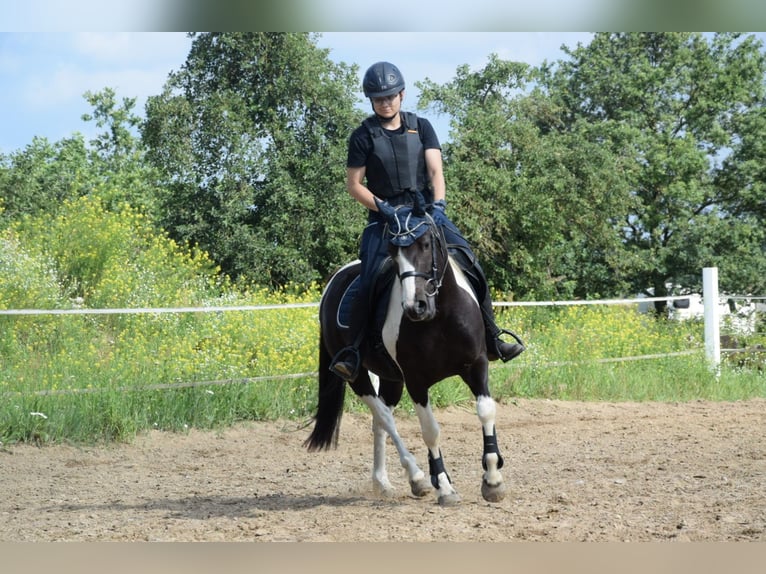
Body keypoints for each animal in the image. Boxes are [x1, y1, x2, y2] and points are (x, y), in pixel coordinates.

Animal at [306, 200, 510, 506]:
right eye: (392, 253)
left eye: (426, 244)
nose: (416, 306)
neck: (439, 317)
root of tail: (334, 281)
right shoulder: (416, 381)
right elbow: (430, 431)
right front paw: (444, 488)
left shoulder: (476, 365)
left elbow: (486, 411)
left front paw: (493, 480)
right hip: (359, 377)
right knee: (384, 418)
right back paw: (417, 477)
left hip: (391, 379)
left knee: (380, 423)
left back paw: (383, 483)